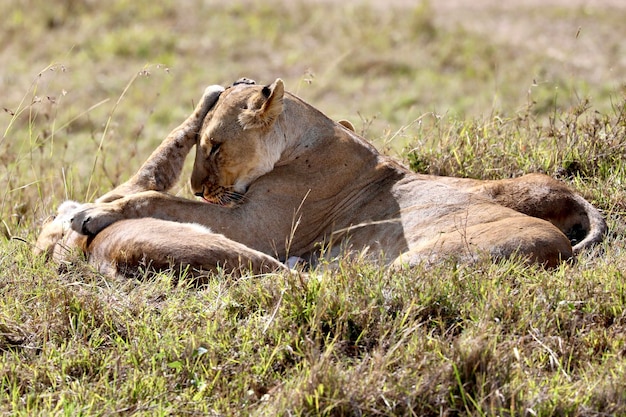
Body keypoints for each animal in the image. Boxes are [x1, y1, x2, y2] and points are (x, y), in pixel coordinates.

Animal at [36, 77, 604, 274]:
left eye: (215, 147)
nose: (200, 186)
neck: (305, 136)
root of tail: (561, 246)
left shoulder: (256, 226)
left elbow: (153, 201)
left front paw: (88, 214)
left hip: (426, 258)